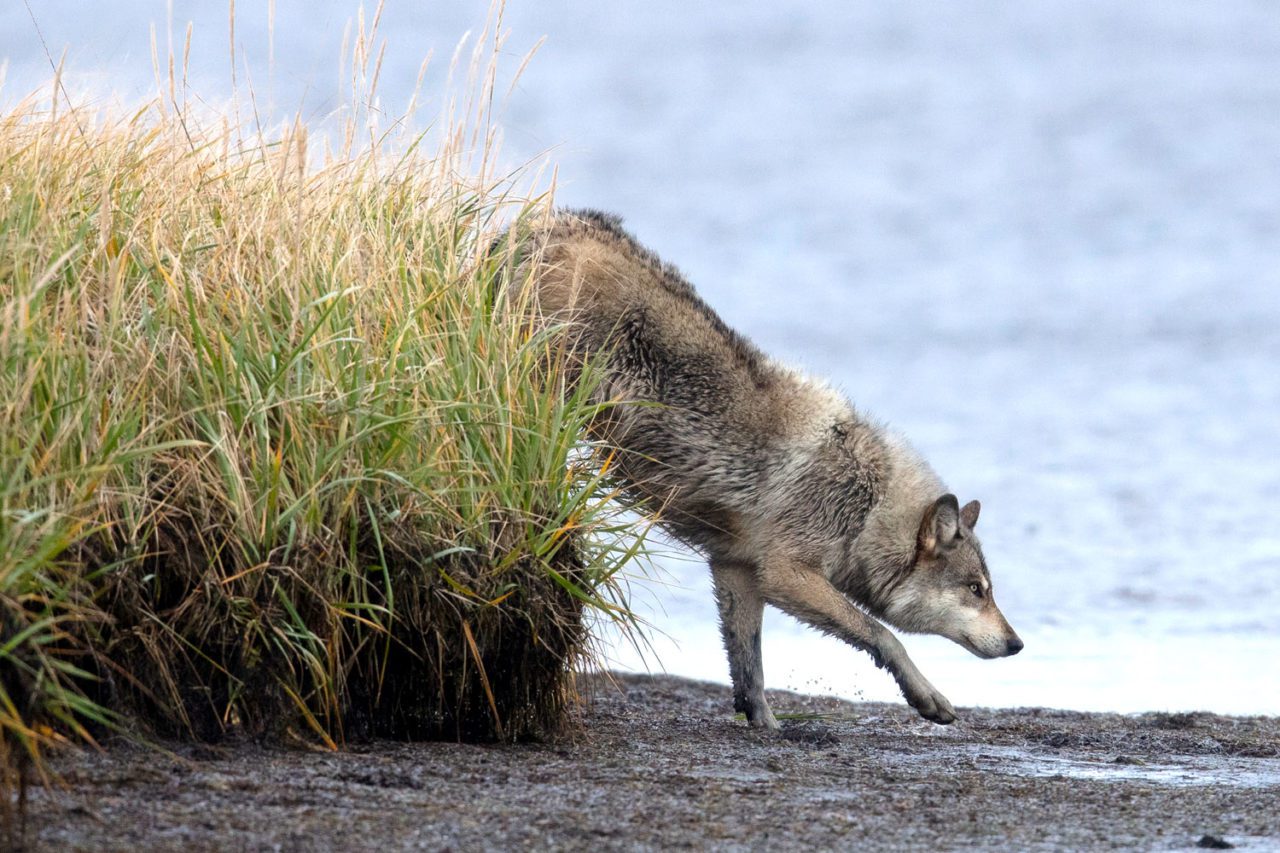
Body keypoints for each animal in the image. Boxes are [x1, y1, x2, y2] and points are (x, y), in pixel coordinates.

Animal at [504, 206, 1024, 722]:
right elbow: (884, 635)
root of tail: (548, 221)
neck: (868, 508)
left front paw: (765, 724)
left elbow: (748, 664)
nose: (1018, 644)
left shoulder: (737, 569)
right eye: (977, 590)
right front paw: (926, 695)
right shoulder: (785, 574)